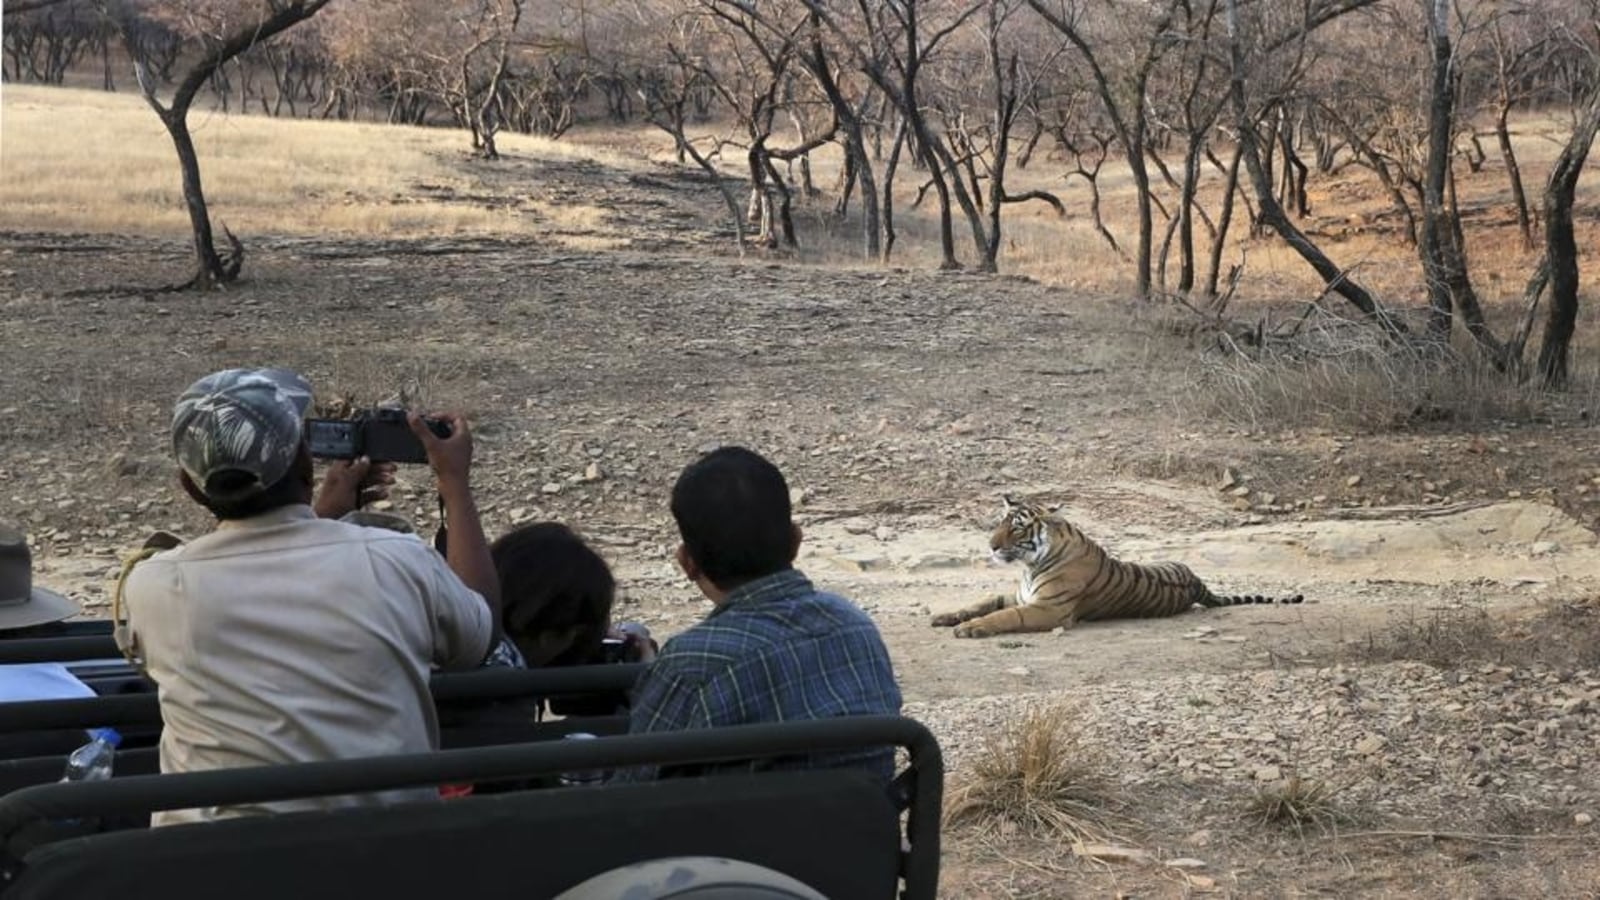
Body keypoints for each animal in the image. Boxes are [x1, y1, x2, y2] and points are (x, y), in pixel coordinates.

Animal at [934, 493, 1299, 634]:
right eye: (999, 522)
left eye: (1018, 527)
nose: (991, 546)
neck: (1030, 564)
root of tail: (1197, 580)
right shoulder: (1020, 594)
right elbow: (983, 602)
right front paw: (946, 616)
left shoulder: (1049, 609)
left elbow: (1005, 616)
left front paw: (970, 628)